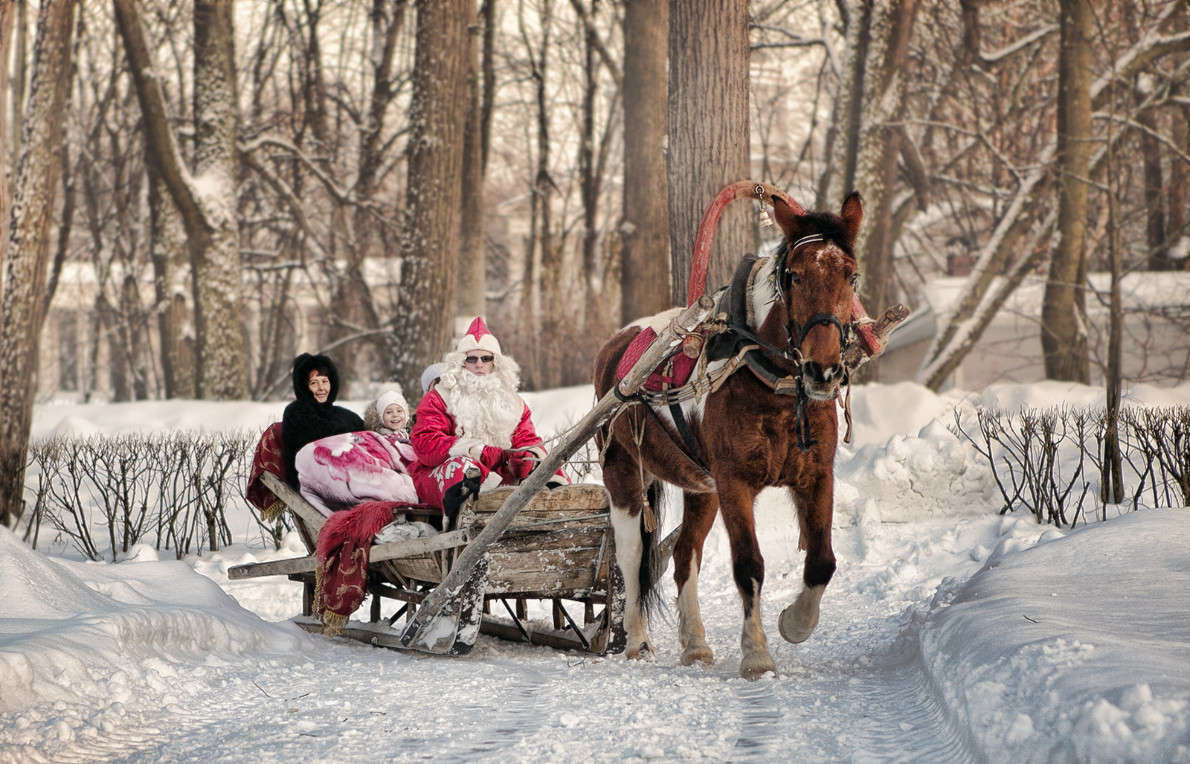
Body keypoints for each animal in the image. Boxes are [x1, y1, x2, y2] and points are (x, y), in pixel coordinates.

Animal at [595, 191, 866, 675]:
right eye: (794, 276)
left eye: (850, 276)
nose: (823, 371)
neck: (767, 380)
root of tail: (615, 348)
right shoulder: (735, 482)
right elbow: (749, 564)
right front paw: (757, 654)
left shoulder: (817, 475)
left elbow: (822, 561)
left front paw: (794, 623)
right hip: (623, 470)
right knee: (630, 556)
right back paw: (637, 641)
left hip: (701, 488)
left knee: (684, 555)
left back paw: (695, 645)